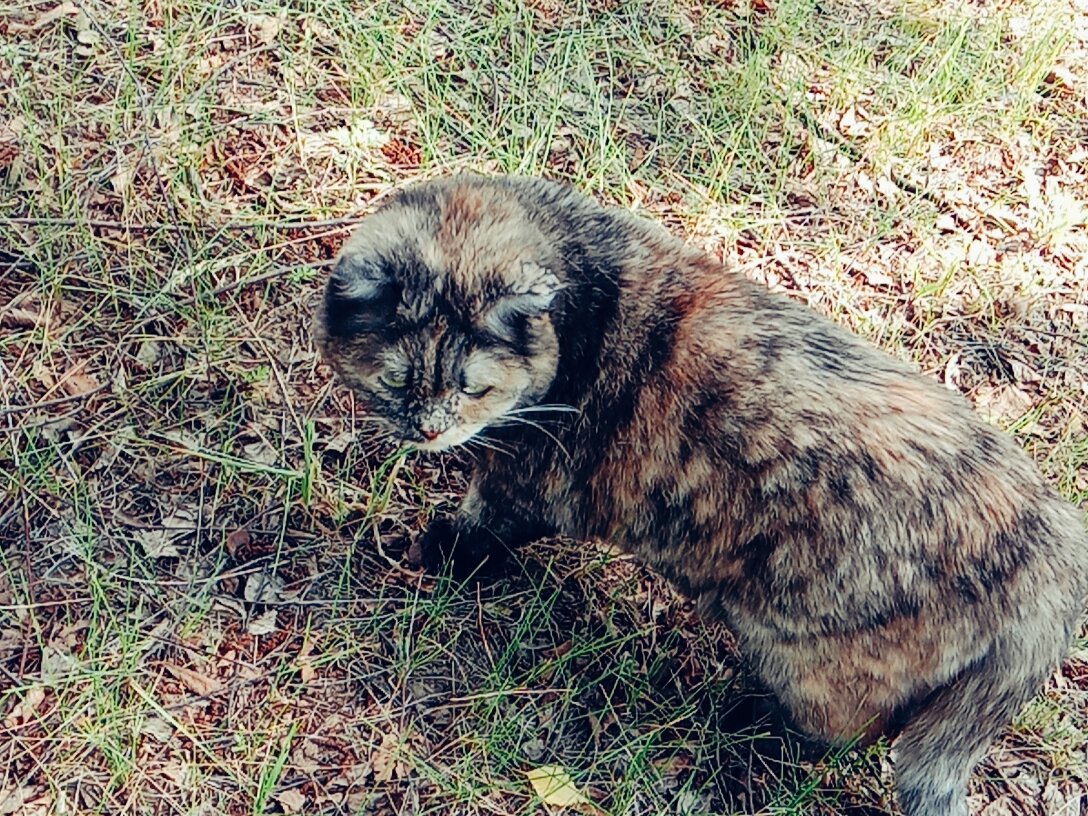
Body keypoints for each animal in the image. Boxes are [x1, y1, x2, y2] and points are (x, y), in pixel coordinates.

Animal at [315, 174, 1088, 816]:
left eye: (472, 387)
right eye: (397, 381)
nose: (428, 428)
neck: (583, 304)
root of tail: (1053, 549)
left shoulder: (525, 482)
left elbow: (480, 526)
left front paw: (432, 549)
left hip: (807, 653)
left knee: (847, 731)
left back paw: (746, 720)